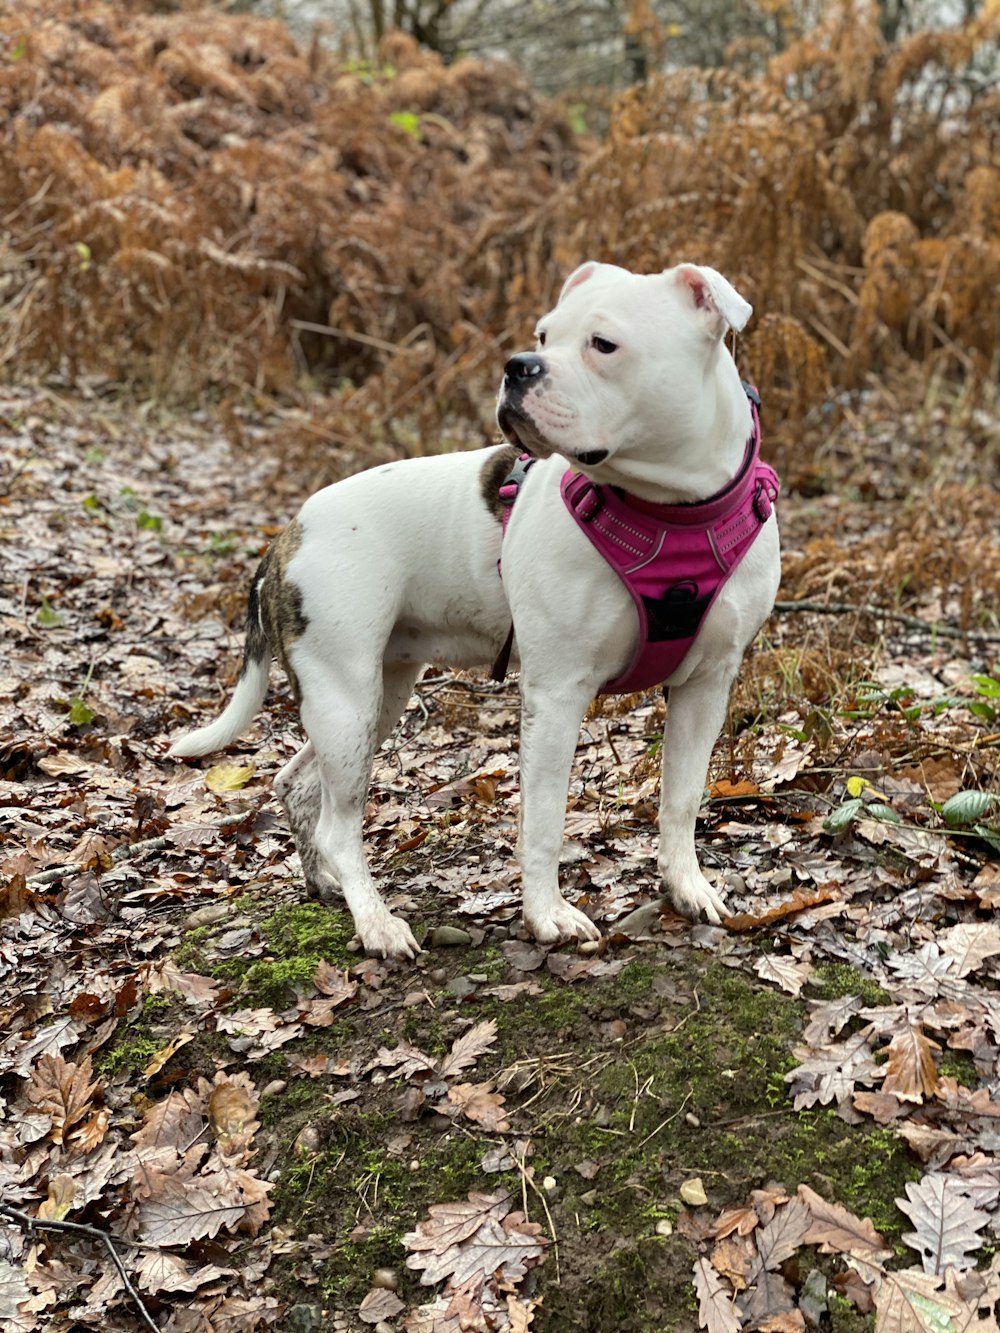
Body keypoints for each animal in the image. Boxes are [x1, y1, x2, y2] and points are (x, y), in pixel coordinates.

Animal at [170, 262, 784, 959]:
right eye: (543, 335)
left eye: (603, 345)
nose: (518, 366)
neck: (671, 507)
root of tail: (288, 532)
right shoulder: (556, 694)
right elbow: (543, 821)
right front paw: (547, 916)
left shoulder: (706, 686)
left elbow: (682, 798)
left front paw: (686, 886)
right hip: (345, 699)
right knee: (339, 825)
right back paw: (376, 923)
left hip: (374, 699)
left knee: (299, 786)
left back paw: (324, 886)